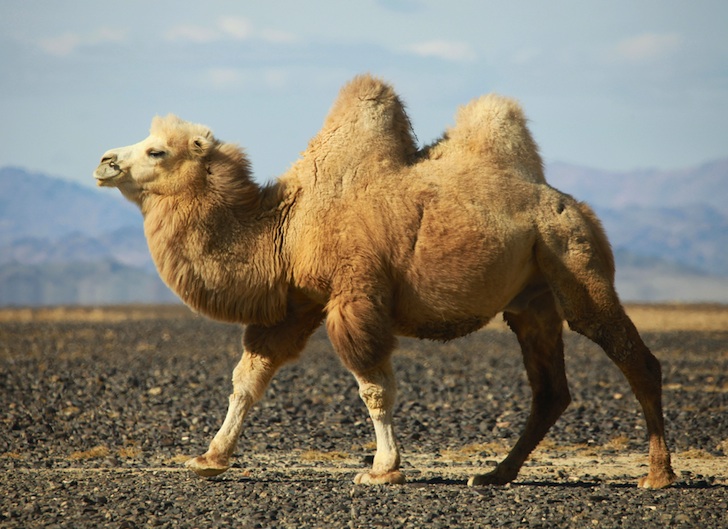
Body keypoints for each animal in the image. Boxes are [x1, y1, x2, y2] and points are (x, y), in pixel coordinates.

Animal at [95, 73, 676, 486]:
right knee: (550, 390)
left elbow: (373, 386)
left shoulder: (357, 294)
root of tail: (572, 204)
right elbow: (248, 378)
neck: (288, 227)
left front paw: (382, 469)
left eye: (156, 150)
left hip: (573, 259)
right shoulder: (298, 304)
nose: (103, 161)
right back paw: (495, 474)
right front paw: (210, 458)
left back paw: (657, 476)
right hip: (531, 299)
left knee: (634, 357)